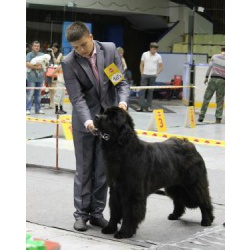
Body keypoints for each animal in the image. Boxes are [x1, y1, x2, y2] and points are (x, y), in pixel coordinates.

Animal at [93, 106, 214, 238]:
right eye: (104, 113)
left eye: (111, 118)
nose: (96, 116)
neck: (122, 151)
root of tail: (190, 145)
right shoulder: (115, 190)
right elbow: (114, 210)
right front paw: (110, 228)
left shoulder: (132, 192)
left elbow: (129, 213)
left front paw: (124, 232)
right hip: (174, 185)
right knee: (178, 200)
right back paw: (175, 215)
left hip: (193, 184)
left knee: (204, 199)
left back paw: (207, 220)